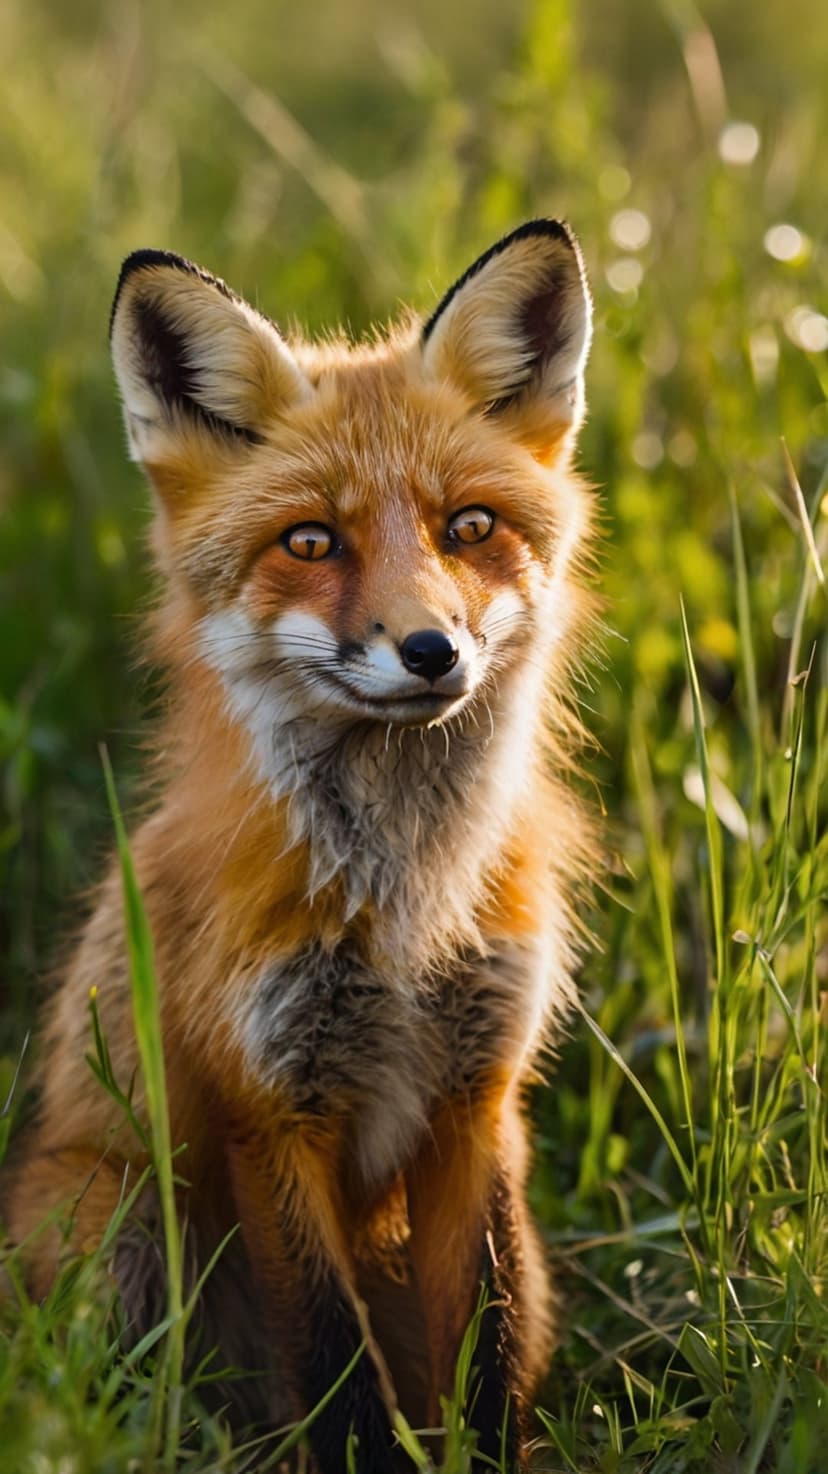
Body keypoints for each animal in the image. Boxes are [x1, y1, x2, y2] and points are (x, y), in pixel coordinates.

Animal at [6, 219, 596, 1472]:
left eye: (469, 527)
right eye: (311, 540)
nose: (430, 649)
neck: (407, 908)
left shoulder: (476, 1101)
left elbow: (481, 1350)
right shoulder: (271, 1108)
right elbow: (334, 1368)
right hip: (117, 1224)